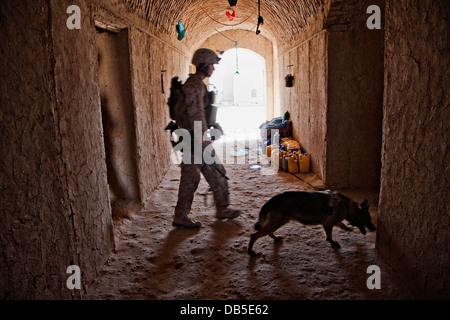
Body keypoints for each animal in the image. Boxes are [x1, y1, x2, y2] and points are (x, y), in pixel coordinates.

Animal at [246, 191, 376, 256]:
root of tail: (272, 200)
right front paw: (333, 243)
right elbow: (329, 236)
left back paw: (275, 237)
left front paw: (348, 229)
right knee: (254, 235)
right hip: (277, 221)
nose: (374, 229)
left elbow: (341, 224)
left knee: (268, 231)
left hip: (277, 222)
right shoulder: (327, 224)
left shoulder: (333, 222)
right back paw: (250, 252)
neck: (346, 206)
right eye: (368, 219)